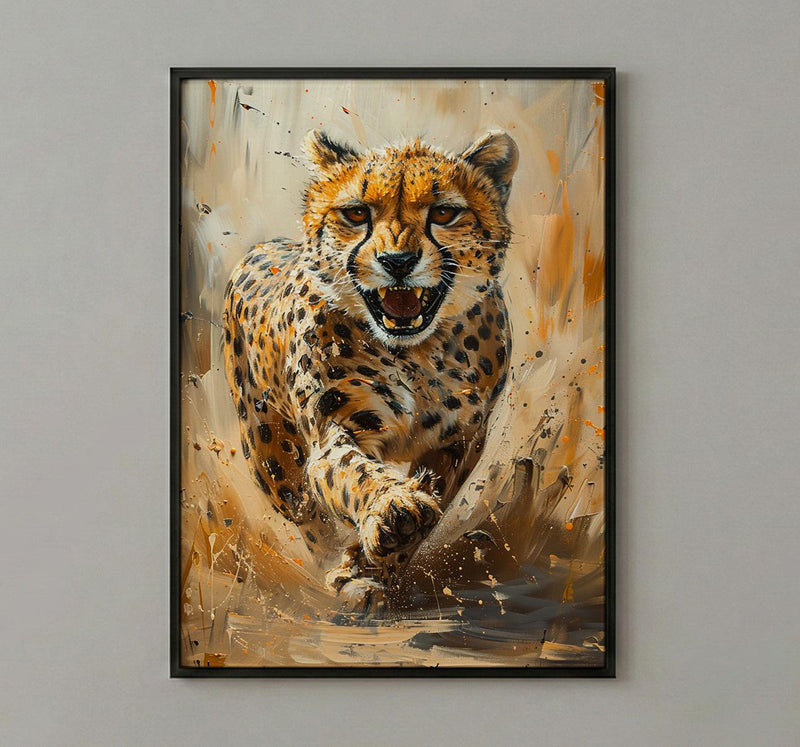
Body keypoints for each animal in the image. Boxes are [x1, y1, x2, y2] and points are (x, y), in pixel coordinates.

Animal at [223, 129, 518, 608]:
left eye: (444, 212)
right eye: (357, 212)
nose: (397, 261)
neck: (416, 354)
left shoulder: (460, 443)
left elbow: (430, 502)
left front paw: (380, 565)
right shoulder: (334, 431)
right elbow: (350, 472)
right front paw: (392, 513)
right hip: (271, 458)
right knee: (308, 516)